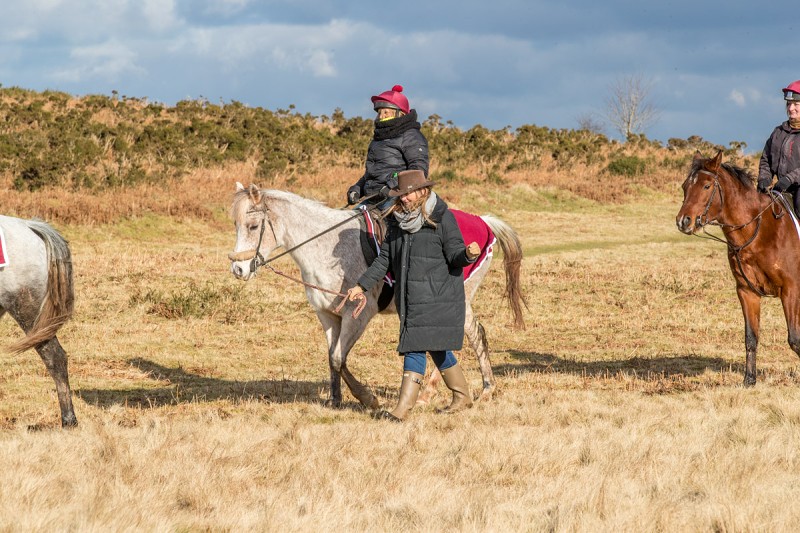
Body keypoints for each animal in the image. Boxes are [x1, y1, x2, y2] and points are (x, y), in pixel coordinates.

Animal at [228, 183, 525, 409]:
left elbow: (338, 357)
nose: (238, 269)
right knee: (470, 335)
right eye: (236, 224)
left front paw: (366, 398)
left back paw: (454, 392)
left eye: (253, 226)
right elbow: (332, 357)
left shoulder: (357, 315)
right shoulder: (327, 315)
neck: (324, 247)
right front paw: (335, 400)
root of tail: (483, 222)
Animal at [675, 150, 800, 386]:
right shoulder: (747, 291)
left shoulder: (791, 290)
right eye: (685, 186)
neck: (759, 231)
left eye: (706, 186)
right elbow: (751, 337)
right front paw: (749, 380)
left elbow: (794, 338)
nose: (683, 221)